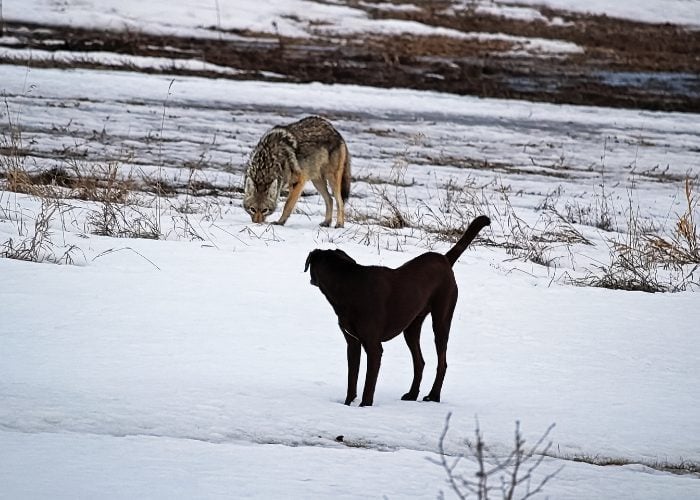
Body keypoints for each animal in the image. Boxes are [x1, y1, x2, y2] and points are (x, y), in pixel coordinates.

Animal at [306, 215, 492, 406]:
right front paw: (347, 404)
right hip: (411, 326)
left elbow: (368, 384)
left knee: (442, 362)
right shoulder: (353, 343)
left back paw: (434, 395)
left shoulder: (373, 347)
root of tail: (444, 259)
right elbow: (352, 379)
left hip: (442, 319)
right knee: (419, 362)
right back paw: (412, 394)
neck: (346, 283)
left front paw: (365, 406)